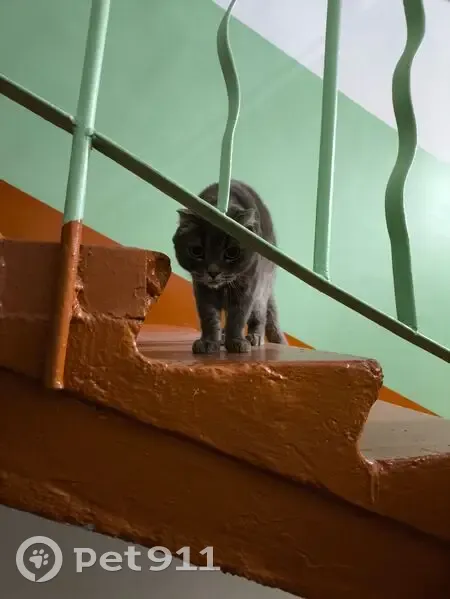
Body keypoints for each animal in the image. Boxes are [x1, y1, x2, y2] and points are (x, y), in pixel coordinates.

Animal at [172, 180, 287, 354]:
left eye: (232, 252)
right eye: (197, 251)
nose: (213, 271)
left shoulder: (247, 287)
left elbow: (238, 316)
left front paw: (236, 342)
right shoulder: (202, 289)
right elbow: (209, 316)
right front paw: (209, 342)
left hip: (262, 289)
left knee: (259, 315)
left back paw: (255, 337)